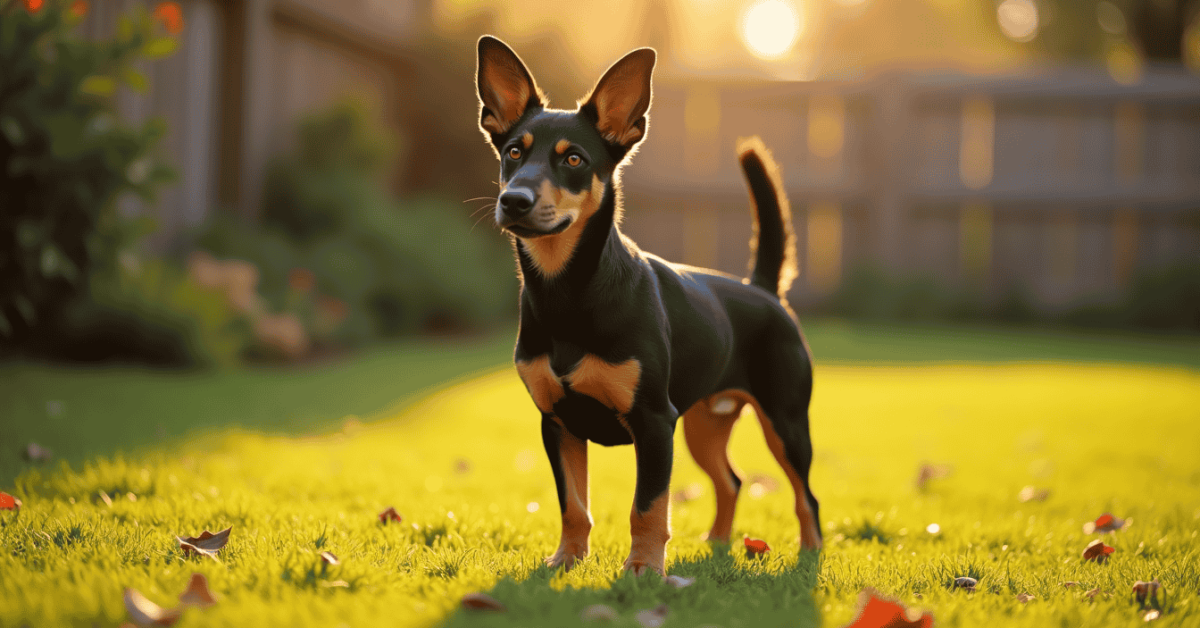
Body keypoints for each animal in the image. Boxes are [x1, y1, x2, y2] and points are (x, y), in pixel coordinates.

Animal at [472, 33, 820, 573]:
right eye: (513, 152)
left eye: (574, 160)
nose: (514, 200)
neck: (569, 293)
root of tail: (763, 289)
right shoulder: (557, 423)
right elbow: (573, 504)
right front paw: (566, 560)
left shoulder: (655, 422)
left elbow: (648, 505)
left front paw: (642, 570)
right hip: (703, 421)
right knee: (731, 480)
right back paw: (717, 544)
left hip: (784, 420)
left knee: (806, 495)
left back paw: (809, 555)